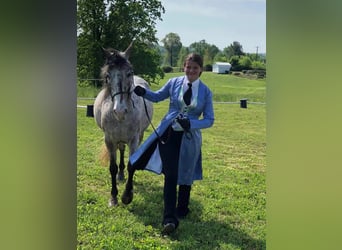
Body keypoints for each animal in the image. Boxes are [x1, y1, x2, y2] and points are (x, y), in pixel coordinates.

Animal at [93, 43, 153, 207]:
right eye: (107, 76)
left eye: (129, 73)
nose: (119, 111)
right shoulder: (109, 140)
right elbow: (112, 168)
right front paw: (113, 197)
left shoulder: (134, 139)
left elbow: (132, 165)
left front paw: (127, 195)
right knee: (121, 150)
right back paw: (120, 175)